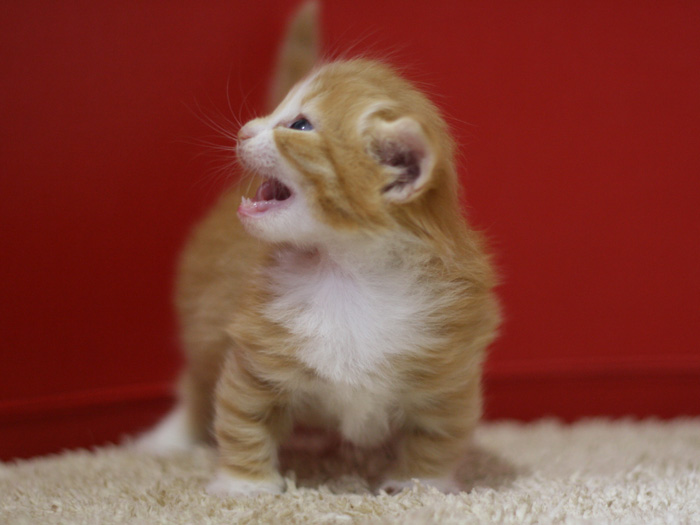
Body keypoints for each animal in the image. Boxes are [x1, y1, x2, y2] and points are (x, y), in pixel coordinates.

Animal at [137, 5, 498, 500]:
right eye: (279, 113)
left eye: (300, 125)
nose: (243, 131)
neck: (349, 270)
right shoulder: (254, 357)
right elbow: (242, 421)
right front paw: (244, 486)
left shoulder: (448, 374)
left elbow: (438, 438)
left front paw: (421, 485)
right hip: (203, 316)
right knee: (195, 382)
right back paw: (171, 438)